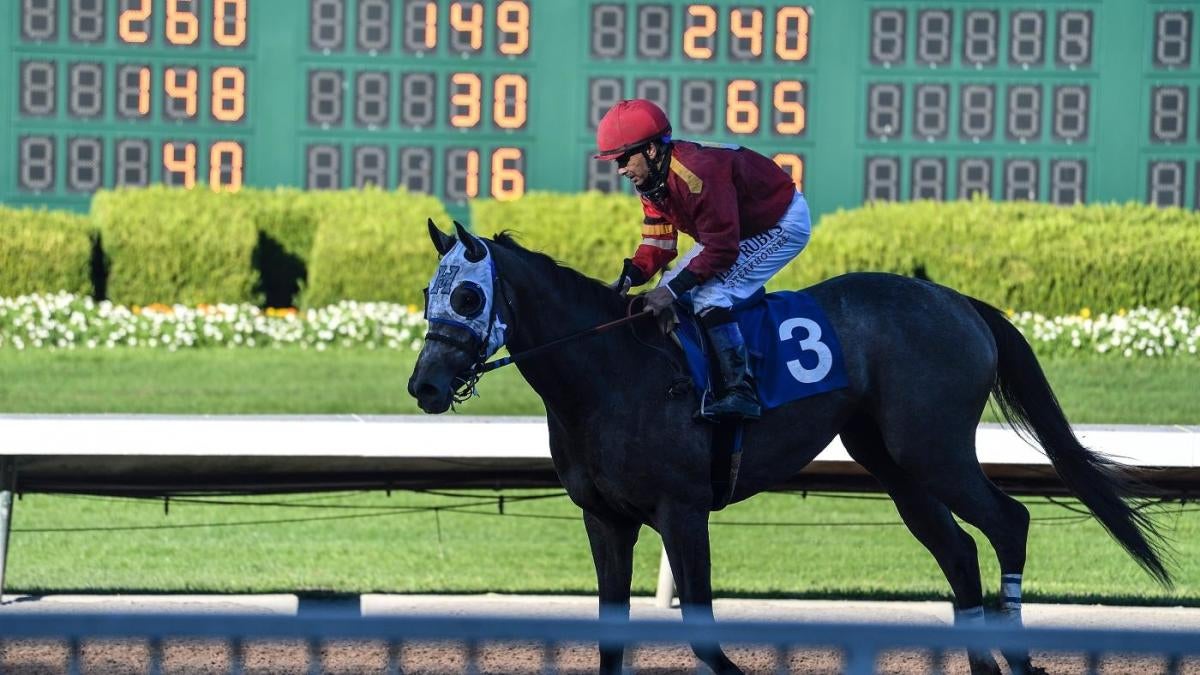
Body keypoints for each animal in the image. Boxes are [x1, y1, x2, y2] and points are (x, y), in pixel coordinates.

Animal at [407, 220, 1171, 675]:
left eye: (469, 296)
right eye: (427, 292)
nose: (425, 385)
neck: (610, 372)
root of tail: (959, 301)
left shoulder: (682, 510)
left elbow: (705, 633)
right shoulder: (607, 519)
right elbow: (610, 636)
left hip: (935, 449)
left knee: (1008, 521)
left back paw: (1015, 657)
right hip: (895, 464)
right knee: (958, 550)